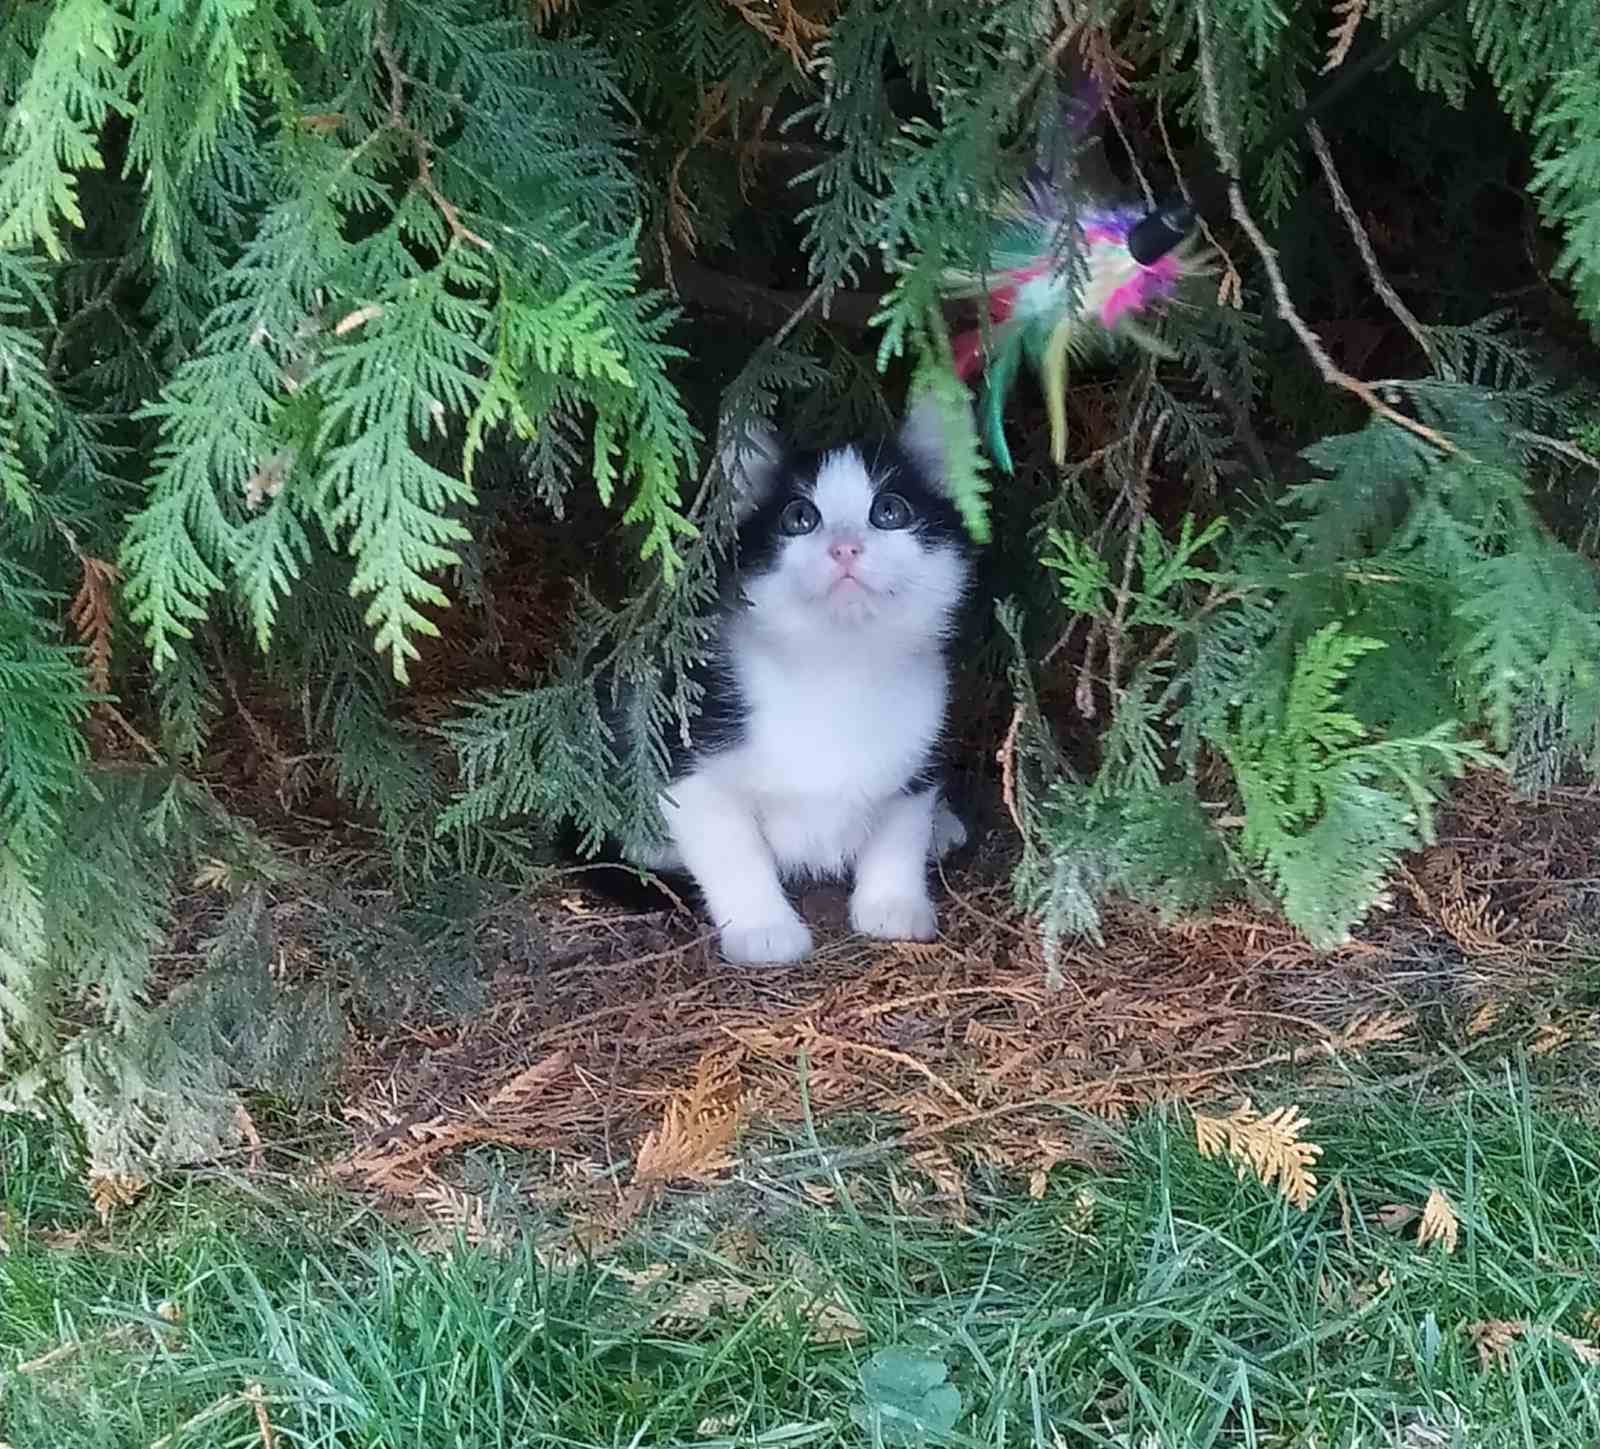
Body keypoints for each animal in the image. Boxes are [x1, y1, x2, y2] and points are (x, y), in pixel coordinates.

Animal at [624, 395, 972, 965]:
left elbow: (901, 823)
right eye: (800, 518)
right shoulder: (685, 752)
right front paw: (763, 927)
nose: (845, 548)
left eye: (889, 511)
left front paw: (892, 902)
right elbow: (731, 848)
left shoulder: (925, 728)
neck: (837, 669)